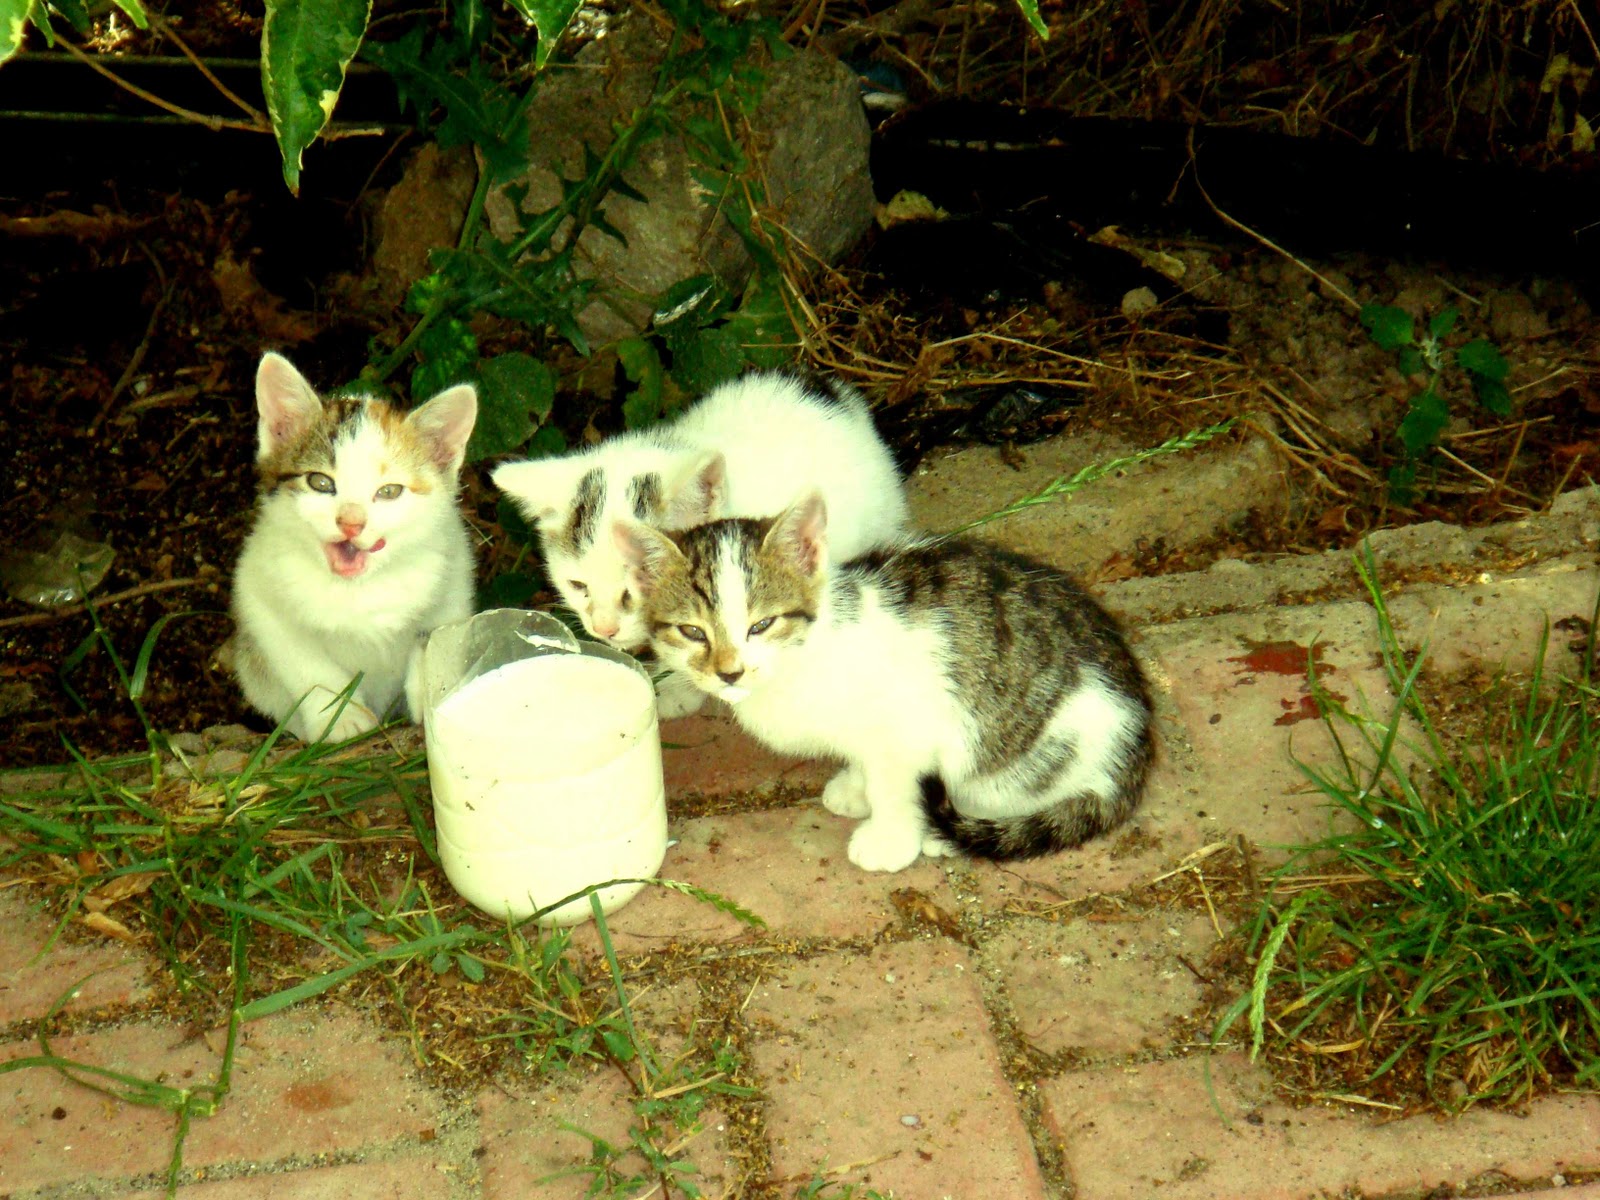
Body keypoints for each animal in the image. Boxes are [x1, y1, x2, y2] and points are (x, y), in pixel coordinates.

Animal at [228, 352, 478, 743]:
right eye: (320, 482)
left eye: (389, 491)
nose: (351, 522)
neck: (360, 588)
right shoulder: (256, 589)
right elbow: (302, 660)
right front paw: (341, 717)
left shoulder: (454, 569)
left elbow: (437, 633)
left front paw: (428, 692)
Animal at [613, 492, 1154, 872]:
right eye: (692, 632)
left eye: (761, 625)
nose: (730, 671)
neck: (806, 658)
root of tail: (1136, 748)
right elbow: (864, 762)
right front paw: (854, 788)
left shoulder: (904, 729)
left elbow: (895, 783)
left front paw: (891, 839)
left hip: (1018, 753)